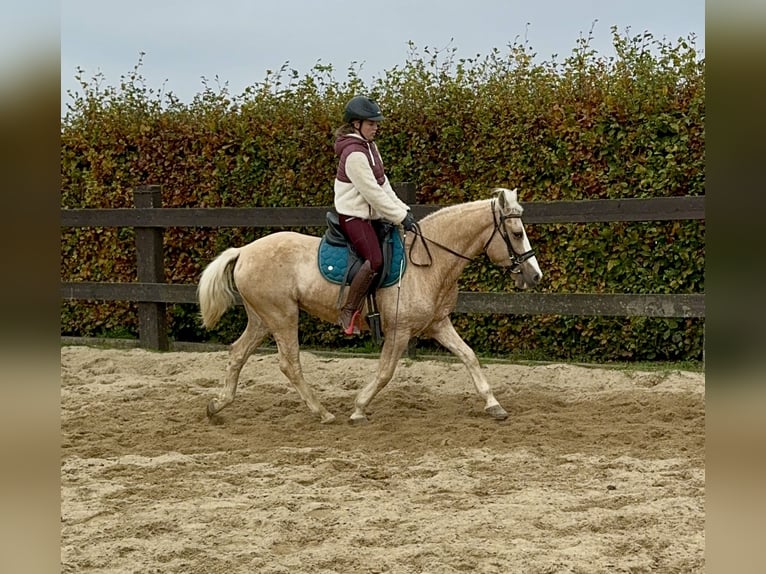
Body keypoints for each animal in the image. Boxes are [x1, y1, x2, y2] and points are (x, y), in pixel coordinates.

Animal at [198, 187, 544, 426]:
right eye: (517, 233)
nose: (534, 275)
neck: (430, 260)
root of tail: (244, 251)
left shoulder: (438, 324)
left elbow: (469, 356)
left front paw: (494, 405)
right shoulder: (399, 331)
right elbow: (385, 372)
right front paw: (359, 408)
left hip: (262, 319)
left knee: (237, 353)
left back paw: (217, 406)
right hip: (282, 316)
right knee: (289, 364)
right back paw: (323, 413)